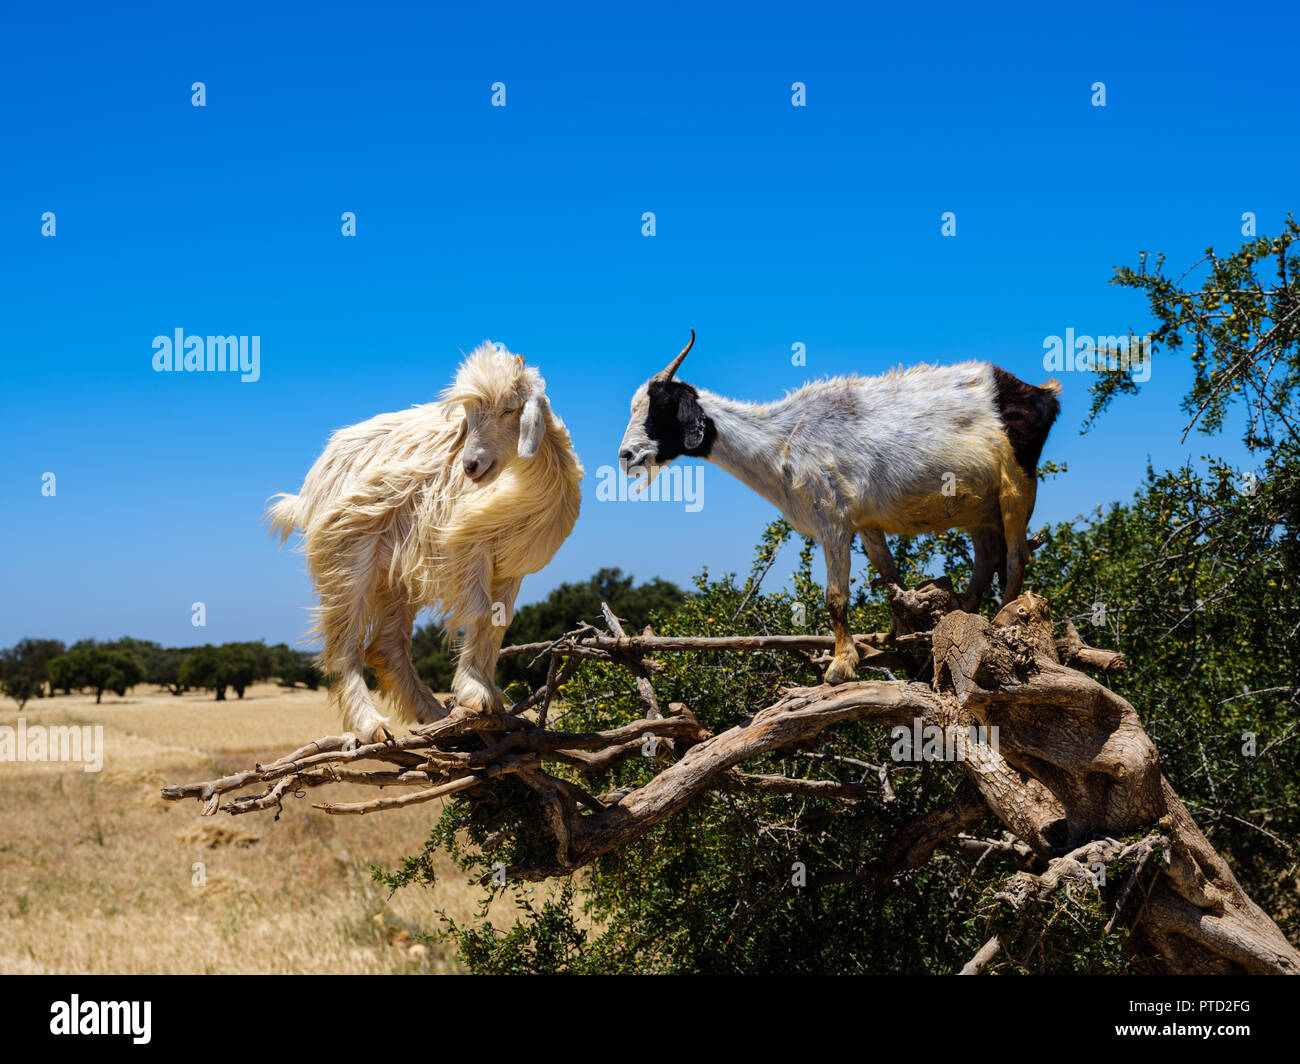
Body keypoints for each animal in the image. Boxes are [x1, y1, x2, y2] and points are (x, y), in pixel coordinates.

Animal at [266, 343, 582, 744]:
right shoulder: (469, 548)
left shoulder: (511, 565)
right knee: (345, 642)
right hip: (347, 552)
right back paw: (371, 724)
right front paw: (475, 693)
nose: (470, 466)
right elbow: (481, 613)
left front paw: (487, 694)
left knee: (387, 645)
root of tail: (311, 483)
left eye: (510, 409)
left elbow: (499, 622)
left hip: (396, 572)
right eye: (468, 415)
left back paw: (431, 712)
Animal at [616, 327, 1055, 681]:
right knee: (988, 553)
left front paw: (841, 665)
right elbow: (889, 574)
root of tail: (1041, 394)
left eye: (661, 408)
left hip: (1017, 484)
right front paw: (898, 637)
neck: (783, 440)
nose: (626, 455)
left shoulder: (833, 520)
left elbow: (835, 598)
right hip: (979, 506)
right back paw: (966, 606)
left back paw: (1001, 616)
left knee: (1015, 557)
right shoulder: (865, 523)